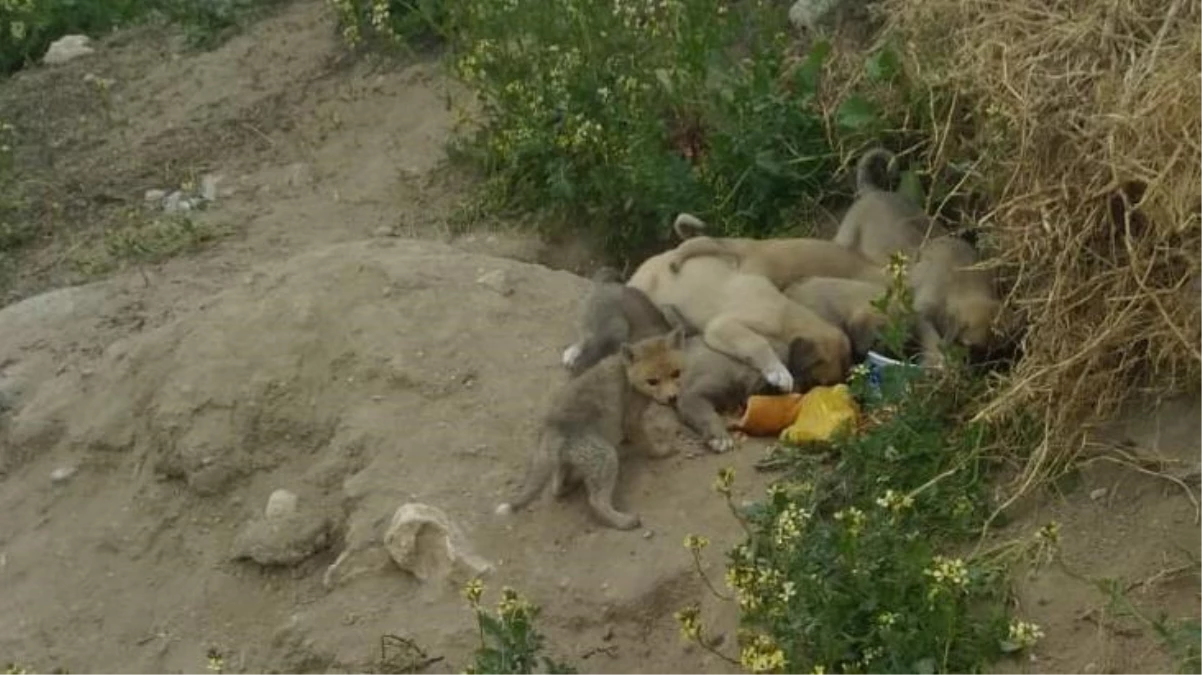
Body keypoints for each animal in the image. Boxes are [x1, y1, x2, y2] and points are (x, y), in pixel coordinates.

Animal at [495, 329, 687, 528]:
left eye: (676, 373)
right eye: (652, 381)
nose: (672, 398)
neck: (626, 373)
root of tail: (553, 427)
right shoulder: (631, 419)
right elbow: (648, 444)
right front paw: (662, 451)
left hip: (569, 461)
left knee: (556, 487)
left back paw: (570, 485)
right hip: (606, 458)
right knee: (596, 501)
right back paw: (623, 521)